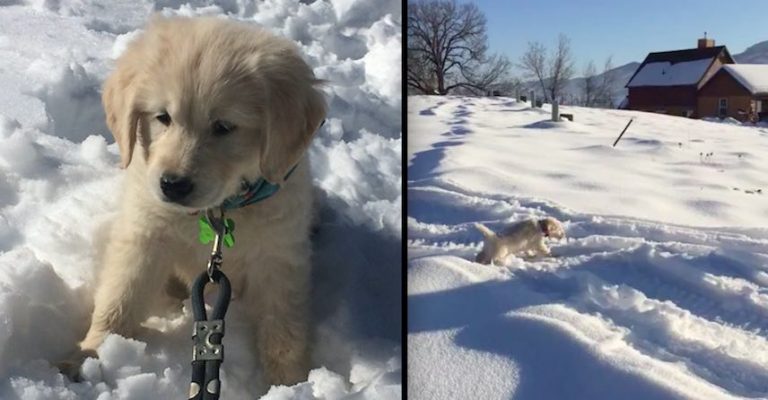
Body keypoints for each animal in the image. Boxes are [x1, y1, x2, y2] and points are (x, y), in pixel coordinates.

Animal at [70, 16, 328, 388]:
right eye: (163, 117)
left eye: (223, 126)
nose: (172, 185)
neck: (216, 211)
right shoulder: (145, 233)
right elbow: (121, 297)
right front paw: (91, 353)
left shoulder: (279, 254)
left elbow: (283, 325)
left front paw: (289, 384)